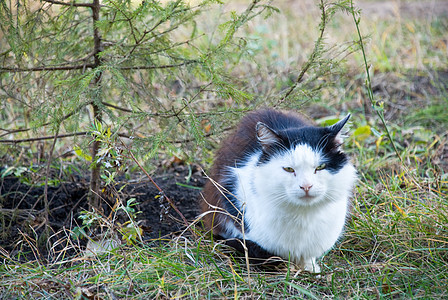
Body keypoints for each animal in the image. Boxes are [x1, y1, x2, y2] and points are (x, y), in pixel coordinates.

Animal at [200, 108, 356, 272]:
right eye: (289, 169)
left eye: (320, 167)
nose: (306, 186)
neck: (303, 215)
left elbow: (308, 256)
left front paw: (310, 268)